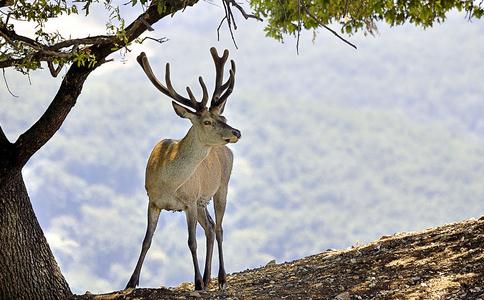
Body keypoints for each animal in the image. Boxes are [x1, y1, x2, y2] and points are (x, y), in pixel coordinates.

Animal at [125, 48, 241, 292]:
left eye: (223, 117)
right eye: (207, 121)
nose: (237, 132)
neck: (169, 183)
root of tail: (226, 151)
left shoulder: (189, 200)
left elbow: (191, 242)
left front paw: (196, 283)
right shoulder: (153, 200)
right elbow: (146, 240)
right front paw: (131, 282)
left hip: (221, 187)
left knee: (219, 229)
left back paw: (220, 279)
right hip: (202, 201)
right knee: (210, 227)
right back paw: (207, 278)